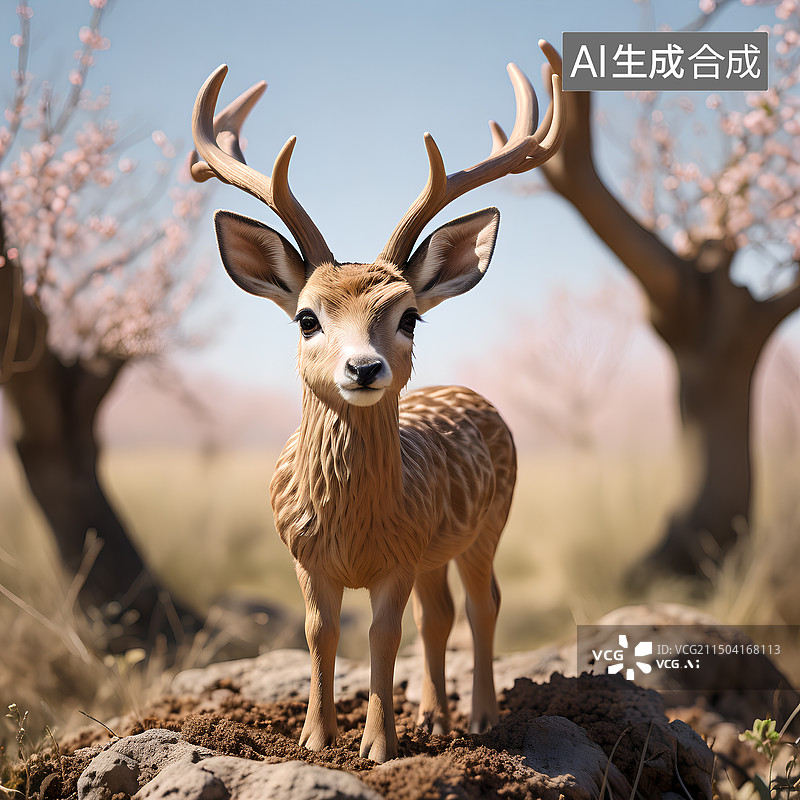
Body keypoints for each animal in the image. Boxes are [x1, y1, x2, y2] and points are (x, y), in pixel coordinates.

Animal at [190, 41, 564, 763]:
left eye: (409, 316)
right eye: (306, 317)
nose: (365, 368)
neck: (354, 526)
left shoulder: (400, 555)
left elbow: (383, 635)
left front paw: (379, 747)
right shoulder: (307, 557)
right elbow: (321, 633)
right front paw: (316, 738)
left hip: (490, 521)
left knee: (482, 604)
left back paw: (478, 718)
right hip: (439, 547)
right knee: (438, 613)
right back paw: (436, 718)